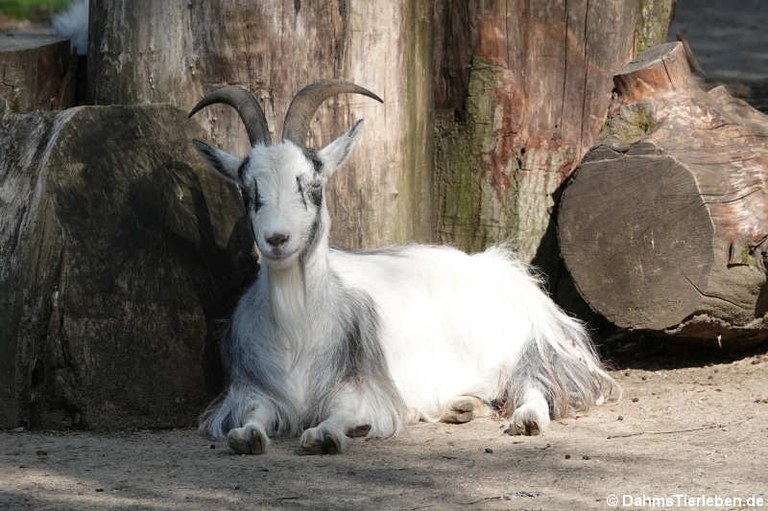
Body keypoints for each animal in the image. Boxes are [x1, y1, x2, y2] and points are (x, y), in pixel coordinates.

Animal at [190, 81, 616, 456]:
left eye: (312, 185)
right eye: (248, 191)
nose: (277, 239)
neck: (300, 328)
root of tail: (503, 271)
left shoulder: (366, 389)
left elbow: (346, 414)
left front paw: (327, 435)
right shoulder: (254, 390)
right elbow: (251, 419)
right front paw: (247, 436)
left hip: (524, 345)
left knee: (534, 384)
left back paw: (526, 419)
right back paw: (460, 407)